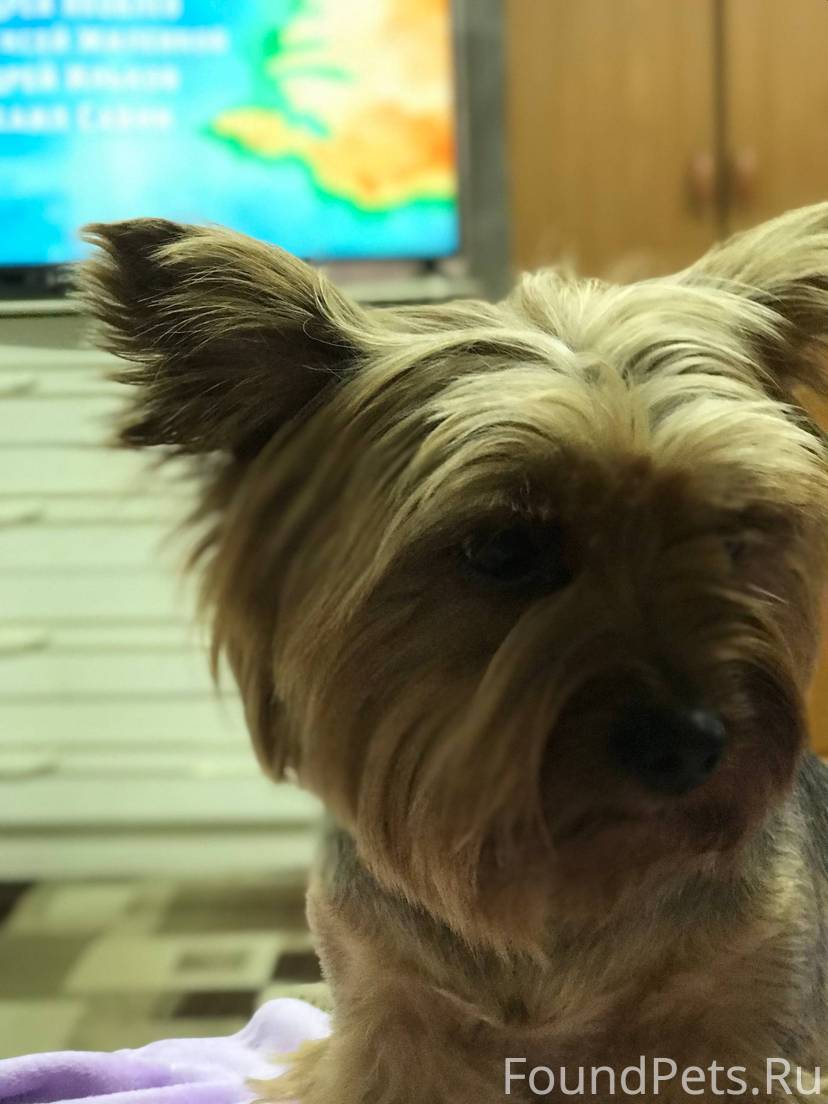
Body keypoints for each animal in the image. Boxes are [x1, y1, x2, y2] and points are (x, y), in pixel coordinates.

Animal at [78, 204, 828, 1102]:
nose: (689, 746)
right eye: (504, 549)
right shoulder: (382, 1022)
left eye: (732, 534)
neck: (555, 876)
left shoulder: (754, 1029)